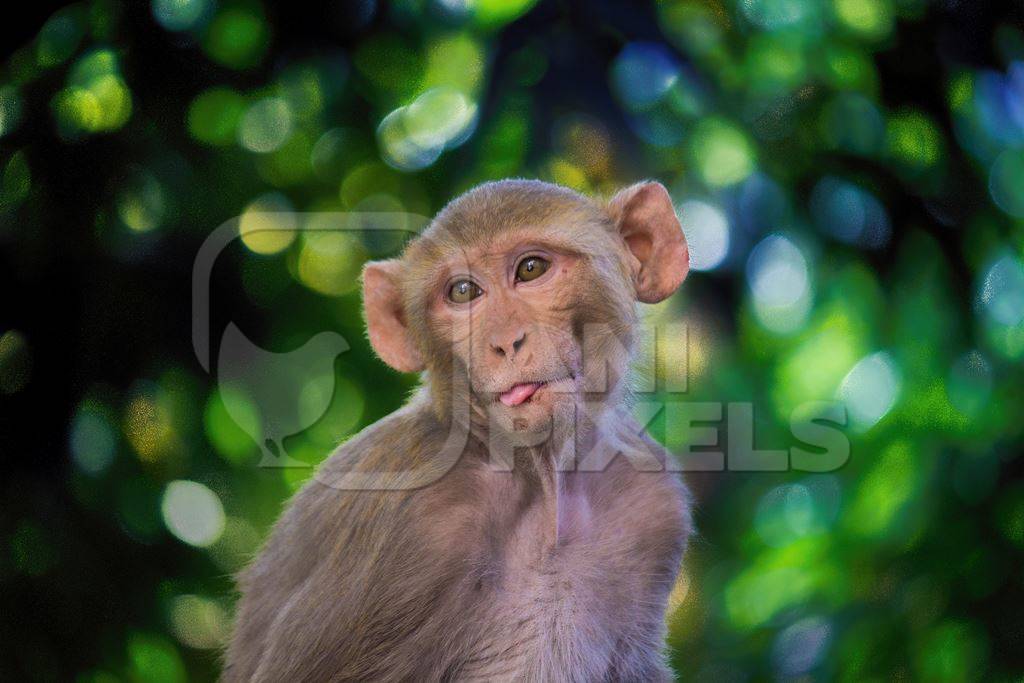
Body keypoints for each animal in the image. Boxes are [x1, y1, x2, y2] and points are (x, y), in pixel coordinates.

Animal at [223, 180, 688, 683]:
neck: (542, 483)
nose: (505, 341)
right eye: (463, 292)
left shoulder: (654, 502)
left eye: (531, 269)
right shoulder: (409, 517)